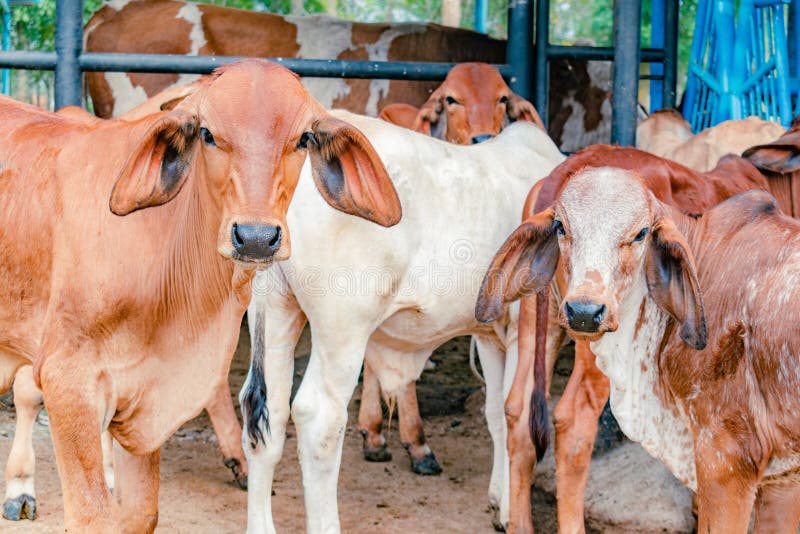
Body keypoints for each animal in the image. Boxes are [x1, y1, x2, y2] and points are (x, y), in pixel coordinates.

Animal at [0, 59, 400, 531]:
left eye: (303, 138)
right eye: (207, 133)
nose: (256, 237)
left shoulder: (145, 402)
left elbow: (141, 513)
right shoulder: (68, 381)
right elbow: (93, 515)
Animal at [239, 110, 564, 533]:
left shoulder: (492, 334)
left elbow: (496, 413)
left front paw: (497, 498)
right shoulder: (526, 330)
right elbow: (517, 420)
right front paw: (511, 509)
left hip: (275, 312)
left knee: (266, 413)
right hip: (343, 329)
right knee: (318, 420)